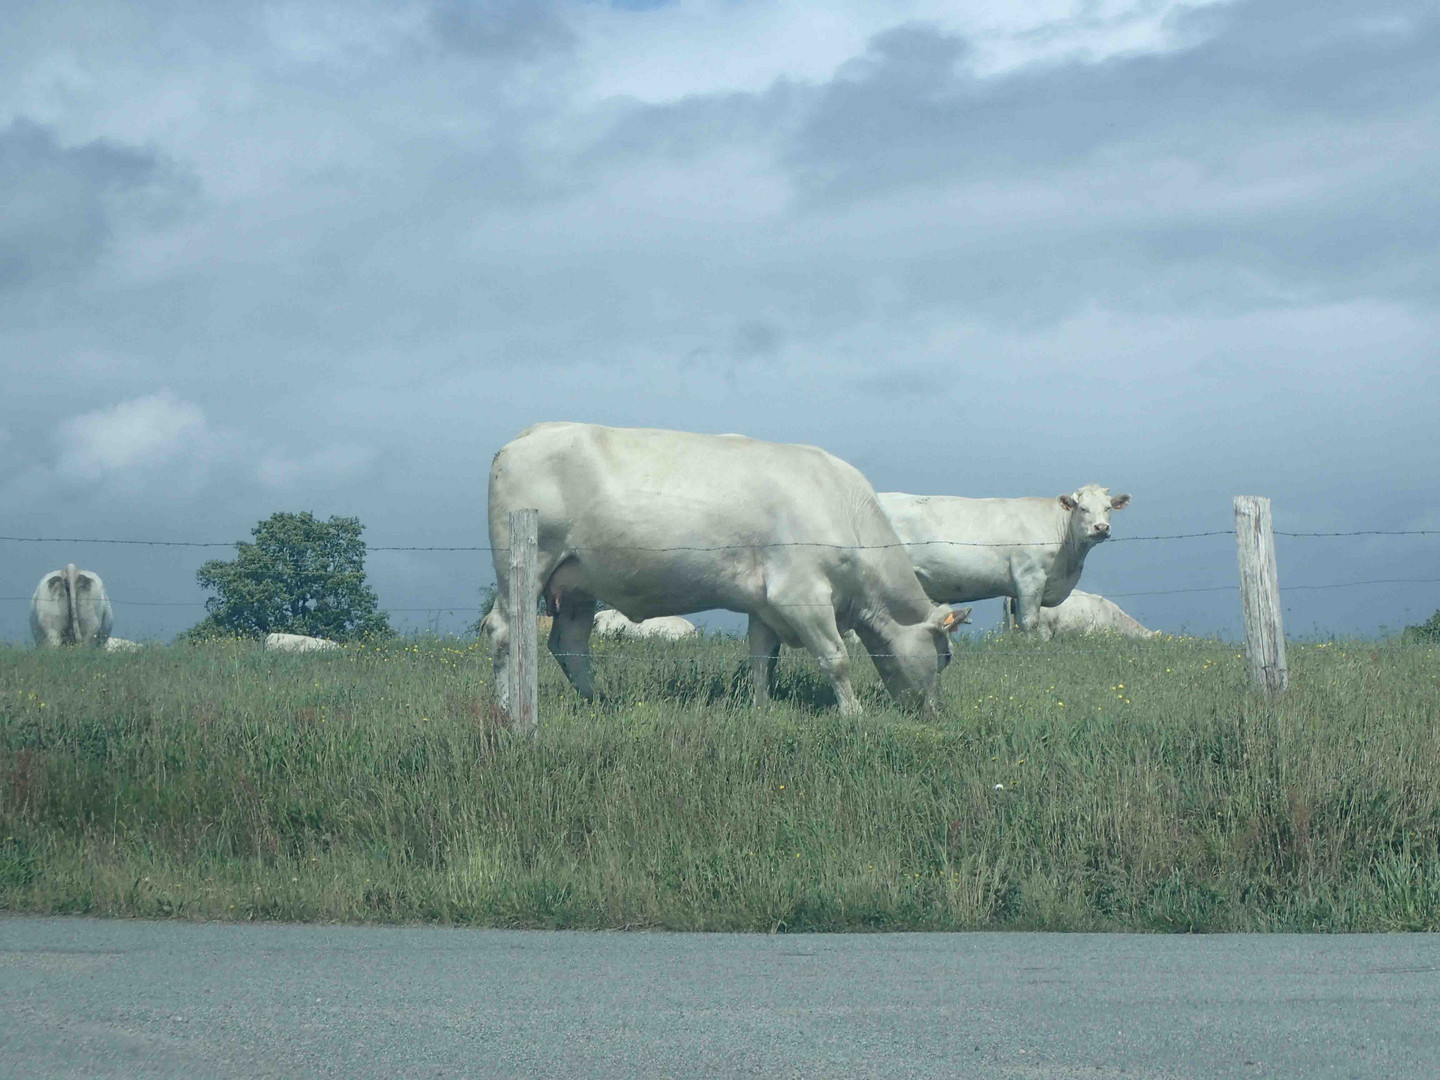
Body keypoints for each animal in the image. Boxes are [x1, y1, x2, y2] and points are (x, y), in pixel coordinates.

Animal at [486, 426, 967, 720]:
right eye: (944, 657)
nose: (934, 712)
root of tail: (531, 434)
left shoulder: (764, 604)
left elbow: (761, 660)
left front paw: (760, 709)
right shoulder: (800, 593)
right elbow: (836, 659)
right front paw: (853, 715)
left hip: (578, 585)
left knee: (569, 644)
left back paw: (601, 702)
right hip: (524, 564)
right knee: (503, 631)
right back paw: (508, 710)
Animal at [869, 486, 1128, 639]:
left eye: (1108, 508)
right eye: (1083, 509)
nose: (1101, 528)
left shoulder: (1018, 589)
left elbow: (1016, 621)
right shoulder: (1030, 578)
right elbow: (1030, 621)